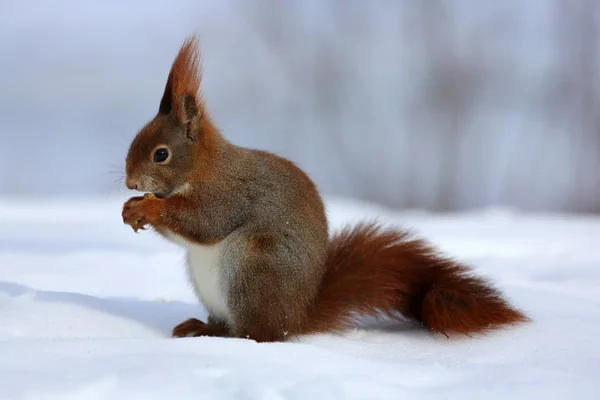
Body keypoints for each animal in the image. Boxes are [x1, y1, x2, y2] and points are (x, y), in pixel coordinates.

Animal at [122, 34, 528, 342]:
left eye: (161, 154)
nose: (129, 182)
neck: (202, 167)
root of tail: (296, 318)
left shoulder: (229, 193)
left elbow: (204, 222)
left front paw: (147, 207)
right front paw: (131, 209)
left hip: (255, 270)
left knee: (258, 335)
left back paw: (219, 333)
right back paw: (199, 325)